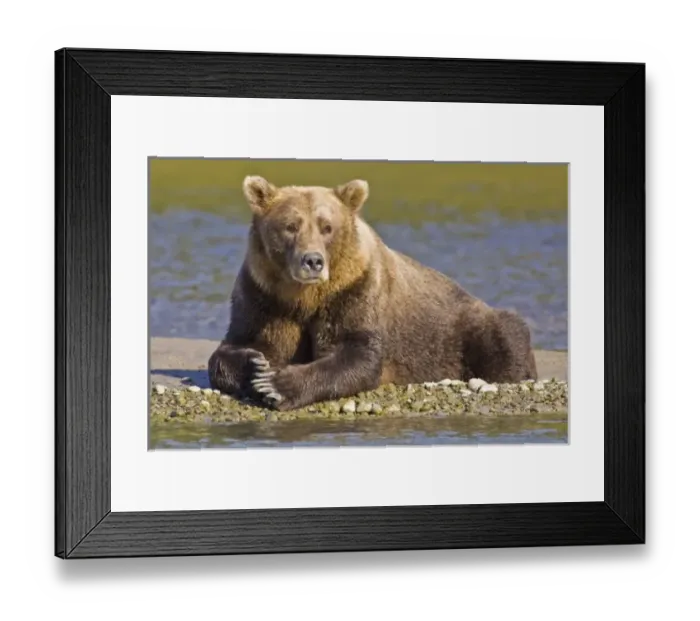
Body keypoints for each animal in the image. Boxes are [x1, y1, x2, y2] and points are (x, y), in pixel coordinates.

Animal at [208, 175, 537, 411]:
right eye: (291, 226)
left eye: (327, 227)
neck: (305, 297)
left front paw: (276, 384)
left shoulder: (353, 290)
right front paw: (254, 364)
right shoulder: (264, 296)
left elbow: (356, 353)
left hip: (465, 326)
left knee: (506, 337)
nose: (313, 261)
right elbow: (235, 346)